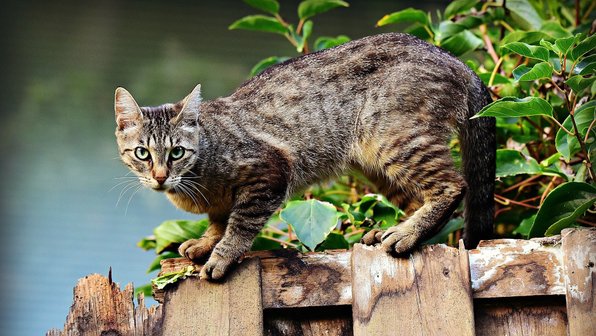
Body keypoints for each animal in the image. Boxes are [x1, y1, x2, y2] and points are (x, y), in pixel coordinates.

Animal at [114, 34, 496, 280]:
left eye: (176, 152)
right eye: (142, 153)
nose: (160, 176)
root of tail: (458, 62)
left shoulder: (270, 171)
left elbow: (240, 224)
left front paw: (222, 254)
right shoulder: (221, 202)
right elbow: (219, 220)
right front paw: (207, 242)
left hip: (394, 139)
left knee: (453, 186)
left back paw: (406, 233)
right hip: (375, 163)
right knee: (420, 198)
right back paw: (394, 230)